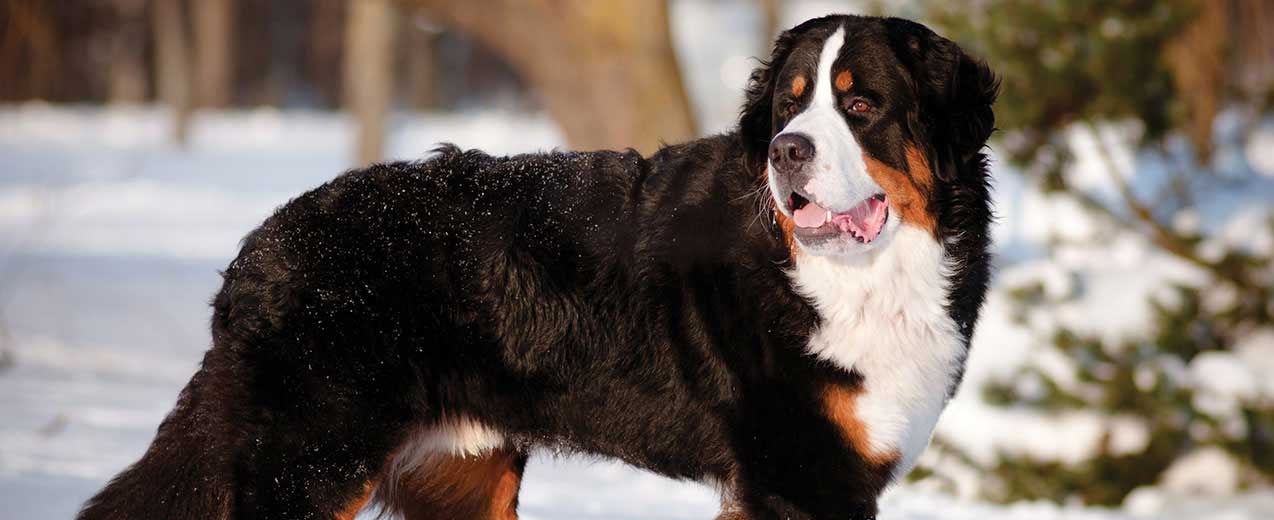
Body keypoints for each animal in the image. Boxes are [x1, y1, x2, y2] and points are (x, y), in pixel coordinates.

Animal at [77, 12, 993, 520]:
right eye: (788, 105)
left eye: (861, 103)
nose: (785, 151)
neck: (862, 277)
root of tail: (262, 243)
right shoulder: (799, 476)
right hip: (311, 462)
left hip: (457, 476)